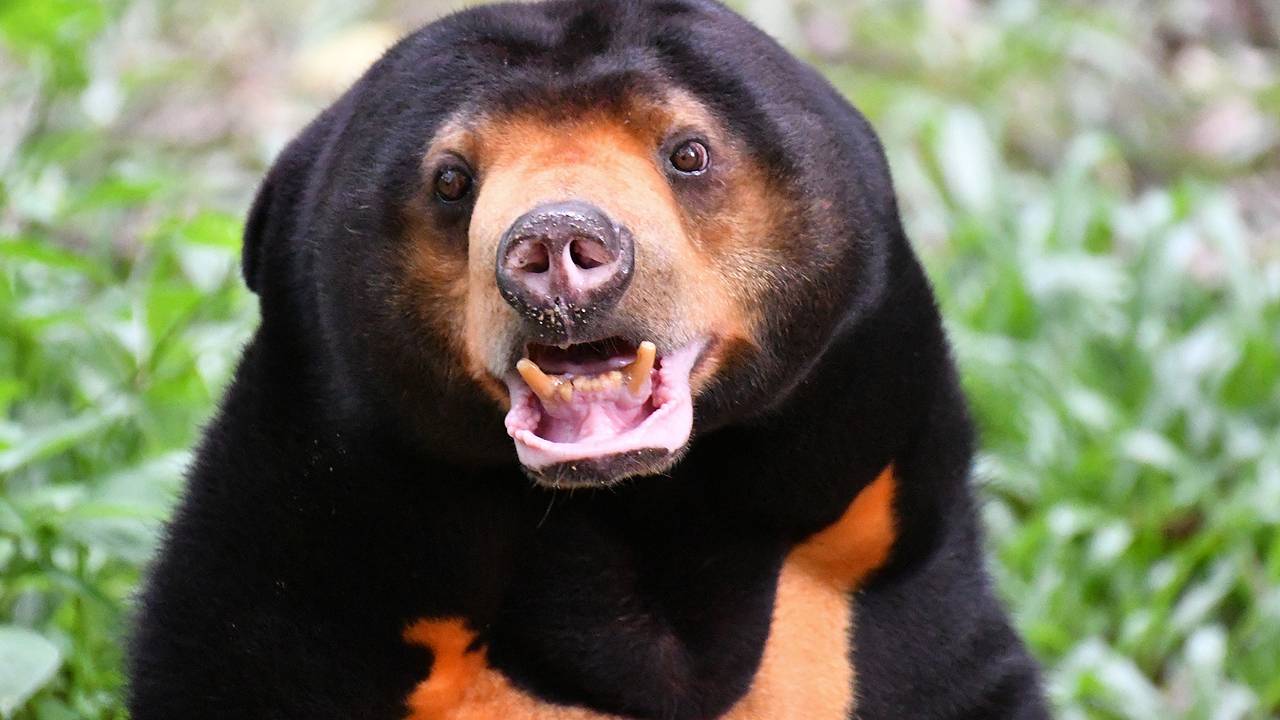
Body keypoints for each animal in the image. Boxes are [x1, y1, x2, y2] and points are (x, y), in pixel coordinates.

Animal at [126, 1, 1050, 718]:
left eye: (688, 152)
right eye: (452, 180)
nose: (558, 246)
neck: (637, 514)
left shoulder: (873, 565)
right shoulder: (298, 574)